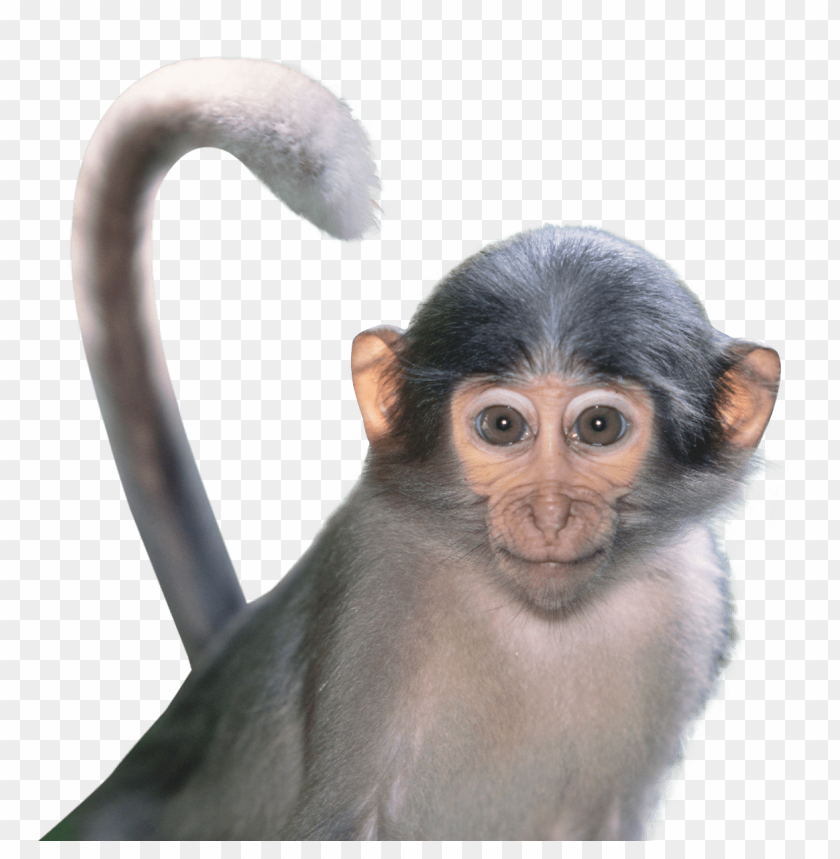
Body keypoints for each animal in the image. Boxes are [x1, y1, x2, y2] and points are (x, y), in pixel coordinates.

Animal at [42, 59, 780, 840]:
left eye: (601, 427)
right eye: (502, 426)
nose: (550, 515)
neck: (537, 625)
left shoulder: (690, 604)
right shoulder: (378, 576)